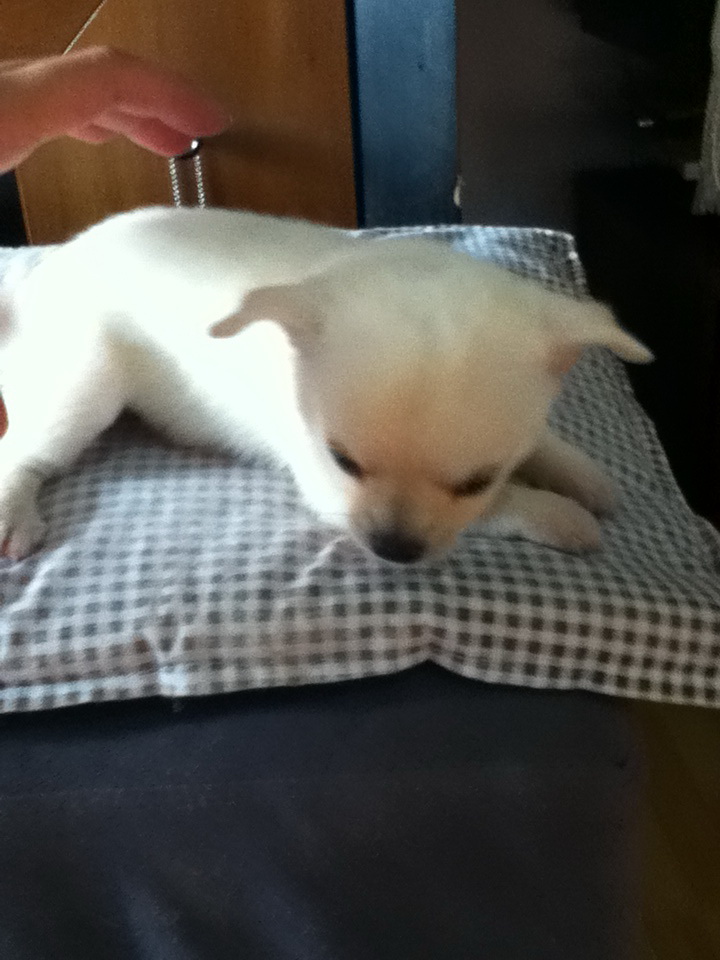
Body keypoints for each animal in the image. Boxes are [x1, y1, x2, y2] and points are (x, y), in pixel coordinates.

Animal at [0, 206, 651, 563]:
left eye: (474, 480)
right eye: (344, 464)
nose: (393, 549)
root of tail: (44, 269)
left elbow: (539, 445)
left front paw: (582, 475)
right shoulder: (324, 486)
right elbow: (504, 507)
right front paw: (558, 514)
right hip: (85, 383)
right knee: (24, 451)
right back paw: (13, 513)